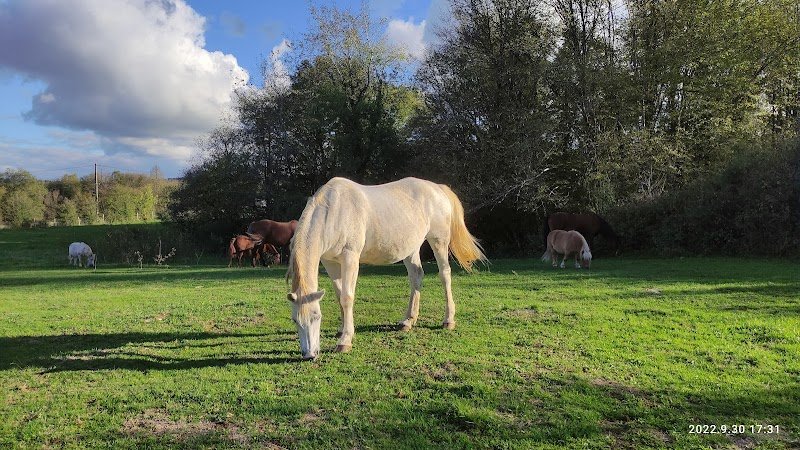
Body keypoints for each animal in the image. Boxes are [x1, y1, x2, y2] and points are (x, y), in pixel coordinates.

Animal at [286, 177, 487, 360]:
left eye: (316, 316)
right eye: (295, 320)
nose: (309, 355)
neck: (333, 211)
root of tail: (437, 188)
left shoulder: (350, 258)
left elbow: (346, 297)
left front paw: (345, 341)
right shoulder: (330, 262)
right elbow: (339, 295)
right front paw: (342, 330)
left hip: (439, 241)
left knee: (444, 275)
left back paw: (448, 320)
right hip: (411, 249)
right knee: (416, 276)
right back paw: (408, 321)